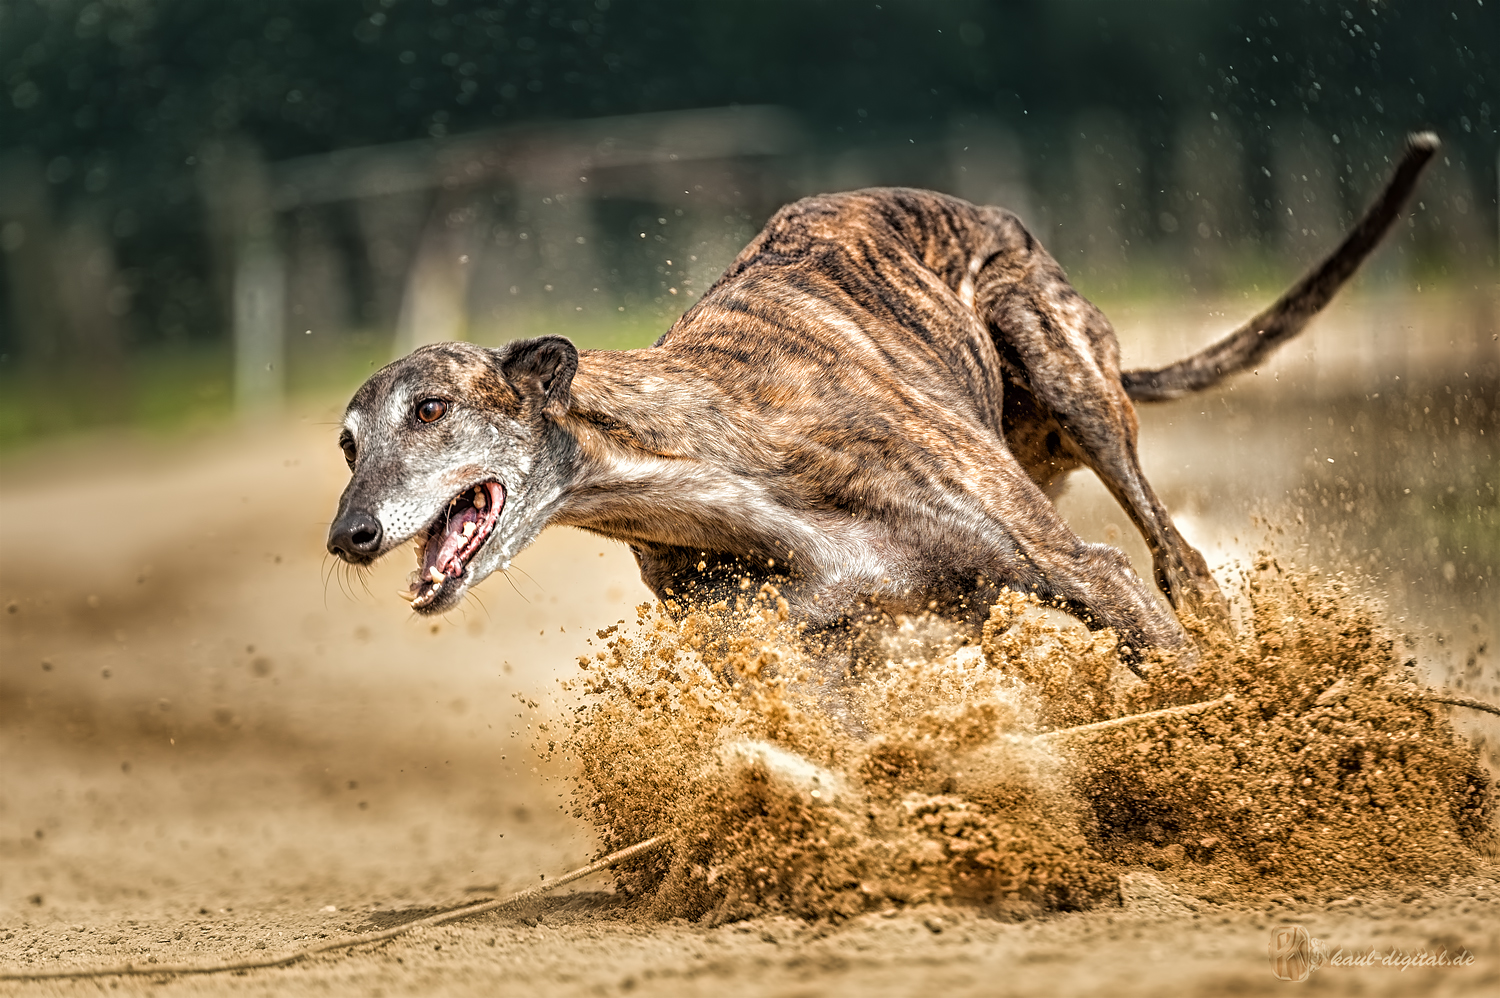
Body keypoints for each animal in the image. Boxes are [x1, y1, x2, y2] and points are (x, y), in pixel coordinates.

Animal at [331, 132, 1440, 672]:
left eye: (429, 409)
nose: (349, 535)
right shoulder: (807, 657)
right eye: (346, 443)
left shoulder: (1081, 569)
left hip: (1059, 364)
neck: (708, 460)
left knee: (1181, 562)